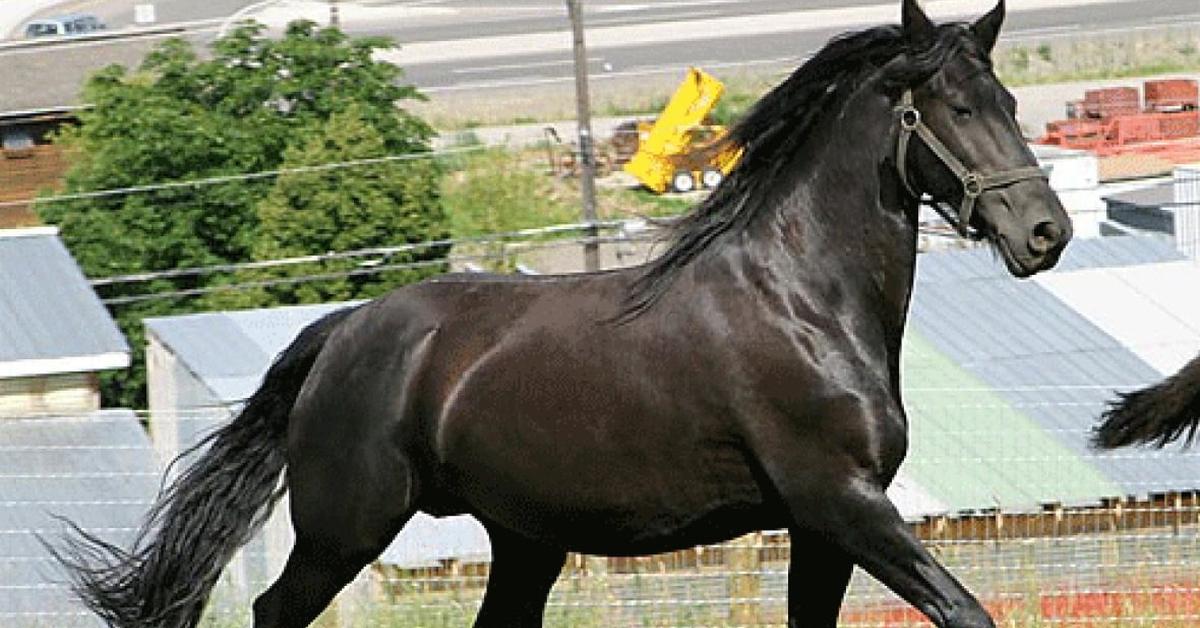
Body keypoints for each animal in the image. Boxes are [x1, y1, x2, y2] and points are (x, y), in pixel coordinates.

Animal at [54, 2, 1070, 624]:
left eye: (1009, 100)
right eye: (949, 108)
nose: (1045, 232)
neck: (802, 302)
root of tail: (345, 332)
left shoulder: (824, 526)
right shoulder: (843, 503)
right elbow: (966, 610)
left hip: (524, 542)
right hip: (346, 527)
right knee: (275, 609)